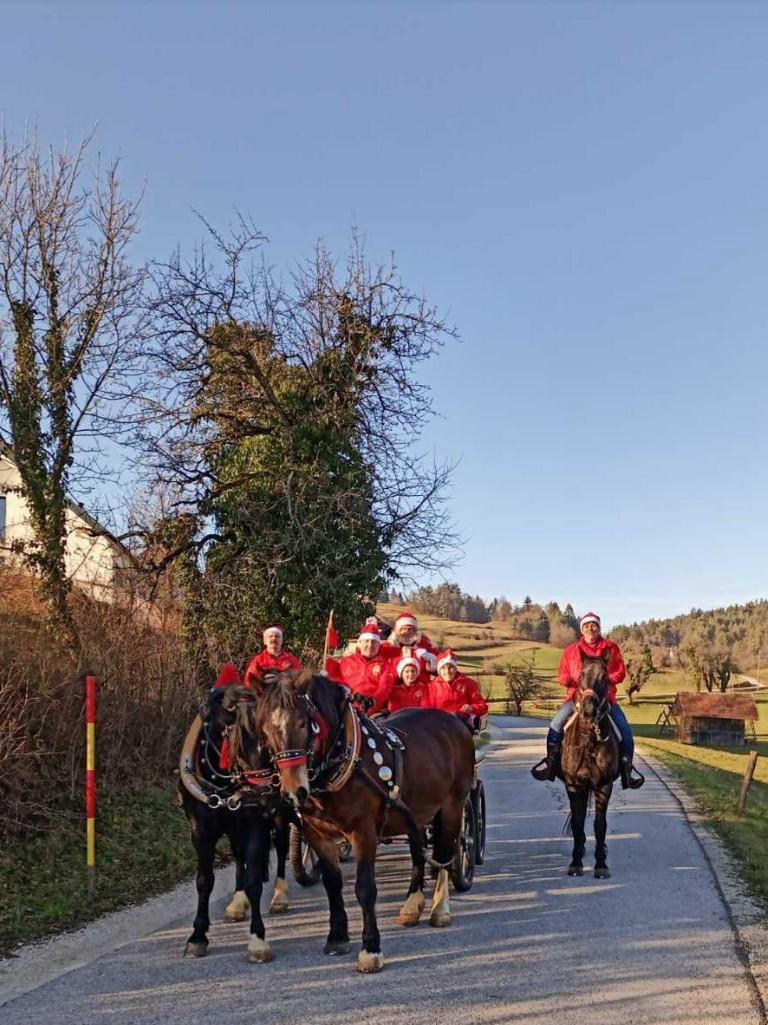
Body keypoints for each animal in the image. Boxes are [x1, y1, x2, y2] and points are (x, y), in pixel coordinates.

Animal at [176, 684, 293, 963]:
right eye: (232, 735)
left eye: (270, 734)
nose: (267, 792)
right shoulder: (200, 832)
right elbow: (204, 880)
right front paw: (197, 936)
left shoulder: (257, 824)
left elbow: (254, 881)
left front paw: (257, 940)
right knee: (239, 857)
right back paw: (237, 903)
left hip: (280, 816)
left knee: (282, 848)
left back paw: (280, 895)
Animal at [231, 668, 473, 971]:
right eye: (264, 729)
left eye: (303, 723)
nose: (294, 791)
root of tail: (454, 721)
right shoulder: (317, 833)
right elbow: (332, 883)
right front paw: (337, 937)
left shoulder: (363, 832)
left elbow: (365, 888)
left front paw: (370, 949)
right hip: (415, 815)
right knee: (419, 853)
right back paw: (411, 905)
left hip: (453, 805)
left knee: (442, 855)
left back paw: (440, 909)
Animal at [561, 651, 619, 877]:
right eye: (580, 676)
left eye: (605, 677)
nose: (588, 711)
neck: (589, 740)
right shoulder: (574, 784)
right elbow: (578, 823)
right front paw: (575, 862)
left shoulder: (604, 785)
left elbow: (600, 825)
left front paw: (601, 863)